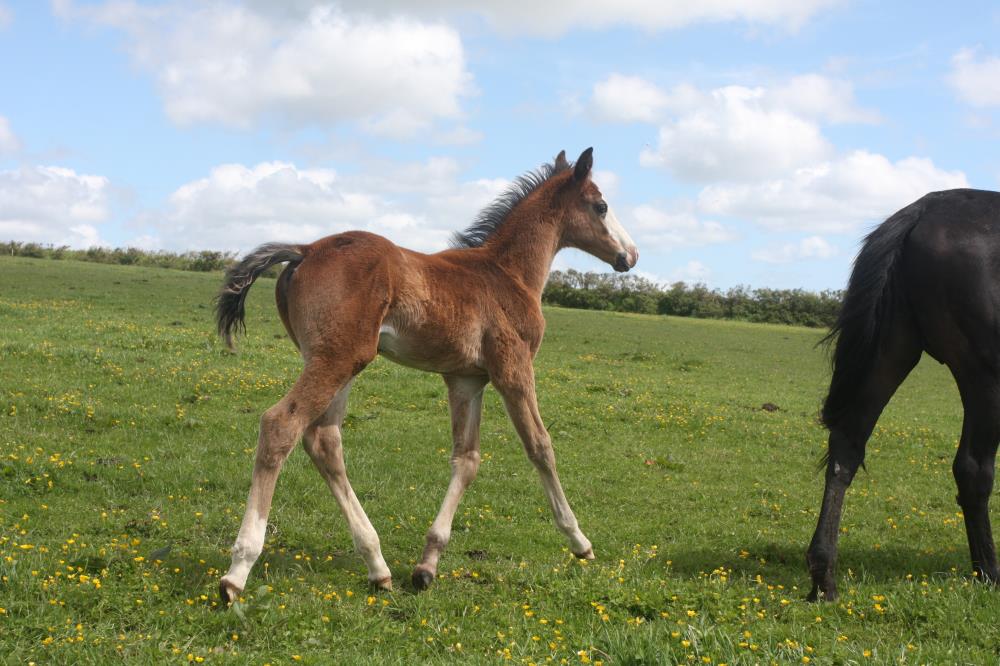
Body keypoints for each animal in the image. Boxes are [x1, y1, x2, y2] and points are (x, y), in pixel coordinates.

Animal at [218, 148, 640, 600]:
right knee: (281, 425)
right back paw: (238, 570)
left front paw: (427, 565)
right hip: (337, 359)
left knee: (324, 440)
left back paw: (378, 565)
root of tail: (306, 248)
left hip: (335, 361)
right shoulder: (513, 368)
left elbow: (467, 459)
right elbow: (540, 446)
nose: (630, 255)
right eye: (601, 206)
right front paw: (580, 541)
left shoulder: (466, 380)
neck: (508, 273)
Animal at [808, 188, 1000, 600]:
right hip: (986, 379)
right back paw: (990, 573)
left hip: (891, 353)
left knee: (845, 448)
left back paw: (823, 578)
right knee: (973, 469)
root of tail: (924, 209)